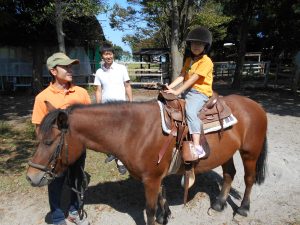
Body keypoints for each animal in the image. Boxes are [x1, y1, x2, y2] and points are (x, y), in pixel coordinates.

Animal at [25, 94, 268, 225]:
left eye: (49, 142)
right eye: (38, 138)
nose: (31, 177)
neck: (133, 130)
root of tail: (255, 104)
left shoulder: (150, 180)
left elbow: (149, 209)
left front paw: (159, 216)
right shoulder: (155, 177)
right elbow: (161, 197)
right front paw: (164, 216)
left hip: (250, 152)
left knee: (248, 179)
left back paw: (243, 209)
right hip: (227, 153)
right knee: (229, 174)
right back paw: (218, 203)